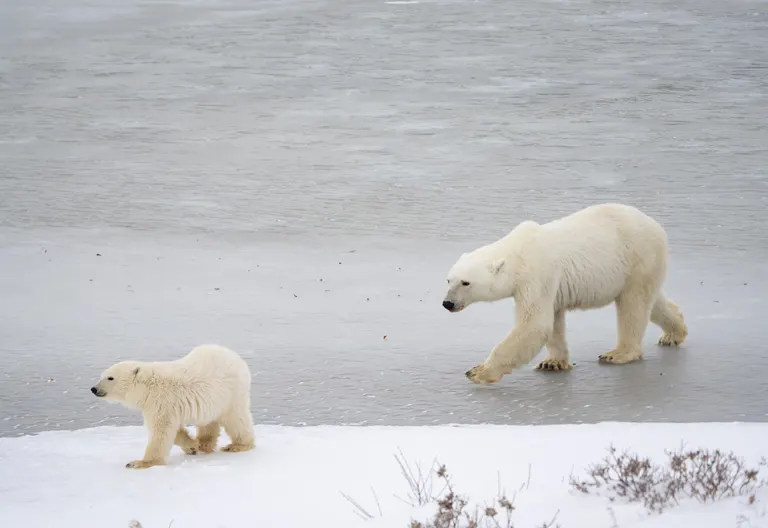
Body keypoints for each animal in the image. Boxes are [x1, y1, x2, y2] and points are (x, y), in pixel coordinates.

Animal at [90, 344, 255, 469]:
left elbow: (161, 431)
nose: (94, 389)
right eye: (102, 376)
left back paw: (237, 445)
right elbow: (174, 431)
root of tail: (236, 357)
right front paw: (192, 446)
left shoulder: (162, 401)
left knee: (236, 419)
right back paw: (204, 444)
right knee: (208, 421)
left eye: (110, 378)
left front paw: (139, 463)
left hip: (232, 393)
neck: (148, 387)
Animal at [442, 203, 688, 385]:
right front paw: (553, 363)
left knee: (633, 306)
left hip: (637, 257)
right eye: (448, 279)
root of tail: (656, 226)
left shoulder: (536, 276)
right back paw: (673, 334)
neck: (518, 252)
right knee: (653, 302)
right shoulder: (549, 286)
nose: (447, 303)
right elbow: (552, 320)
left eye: (466, 282)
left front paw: (478, 371)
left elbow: (534, 324)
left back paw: (618, 353)